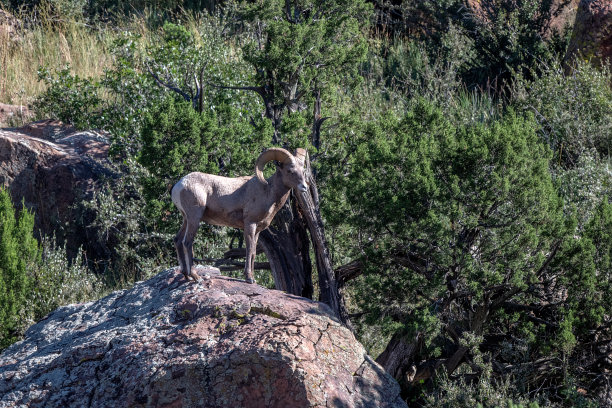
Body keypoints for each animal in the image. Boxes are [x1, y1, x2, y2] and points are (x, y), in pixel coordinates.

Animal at [170, 147, 308, 284]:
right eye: (289, 171)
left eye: (303, 170)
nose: (304, 187)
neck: (268, 192)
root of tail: (179, 186)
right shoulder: (250, 224)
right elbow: (249, 249)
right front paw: (249, 278)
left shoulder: (258, 230)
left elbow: (253, 252)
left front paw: (252, 278)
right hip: (194, 218)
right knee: (187, 242)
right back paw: (196, 277)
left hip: (186, 219)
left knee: (178, 240)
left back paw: (186, 276)